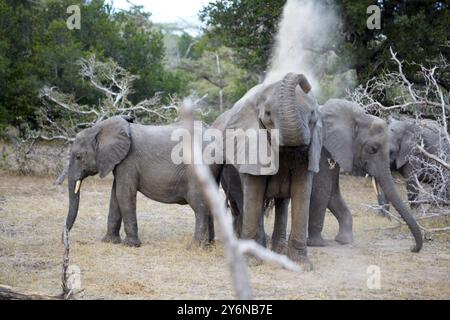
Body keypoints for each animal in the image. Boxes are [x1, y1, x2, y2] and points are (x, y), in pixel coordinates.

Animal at [64, 115, 218, 248]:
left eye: (78, 157)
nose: (65, 239)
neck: (98, 129)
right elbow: (115, 196)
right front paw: (109, 241)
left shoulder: (128, 160)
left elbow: (123, 194)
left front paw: (130, 245)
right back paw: (209, 246)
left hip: (198, 169)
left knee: (199, 206)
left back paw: (195, 247)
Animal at [213, 73, 322, 270]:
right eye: (268, 115)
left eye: (312, 115)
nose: (307, 84)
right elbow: (254, 194)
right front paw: (250, 262)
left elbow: (302, 193)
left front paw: (301, 266)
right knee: (242, 202)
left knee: (282, 203)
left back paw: (277, 251)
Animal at [223, 99, 424, 254]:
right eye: (373, 149)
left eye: (390, 151)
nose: (412, 248)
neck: (356, 118)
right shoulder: (319, 152)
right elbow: (322, 191)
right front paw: (319, 244)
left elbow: (333, 193)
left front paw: (345, 240)